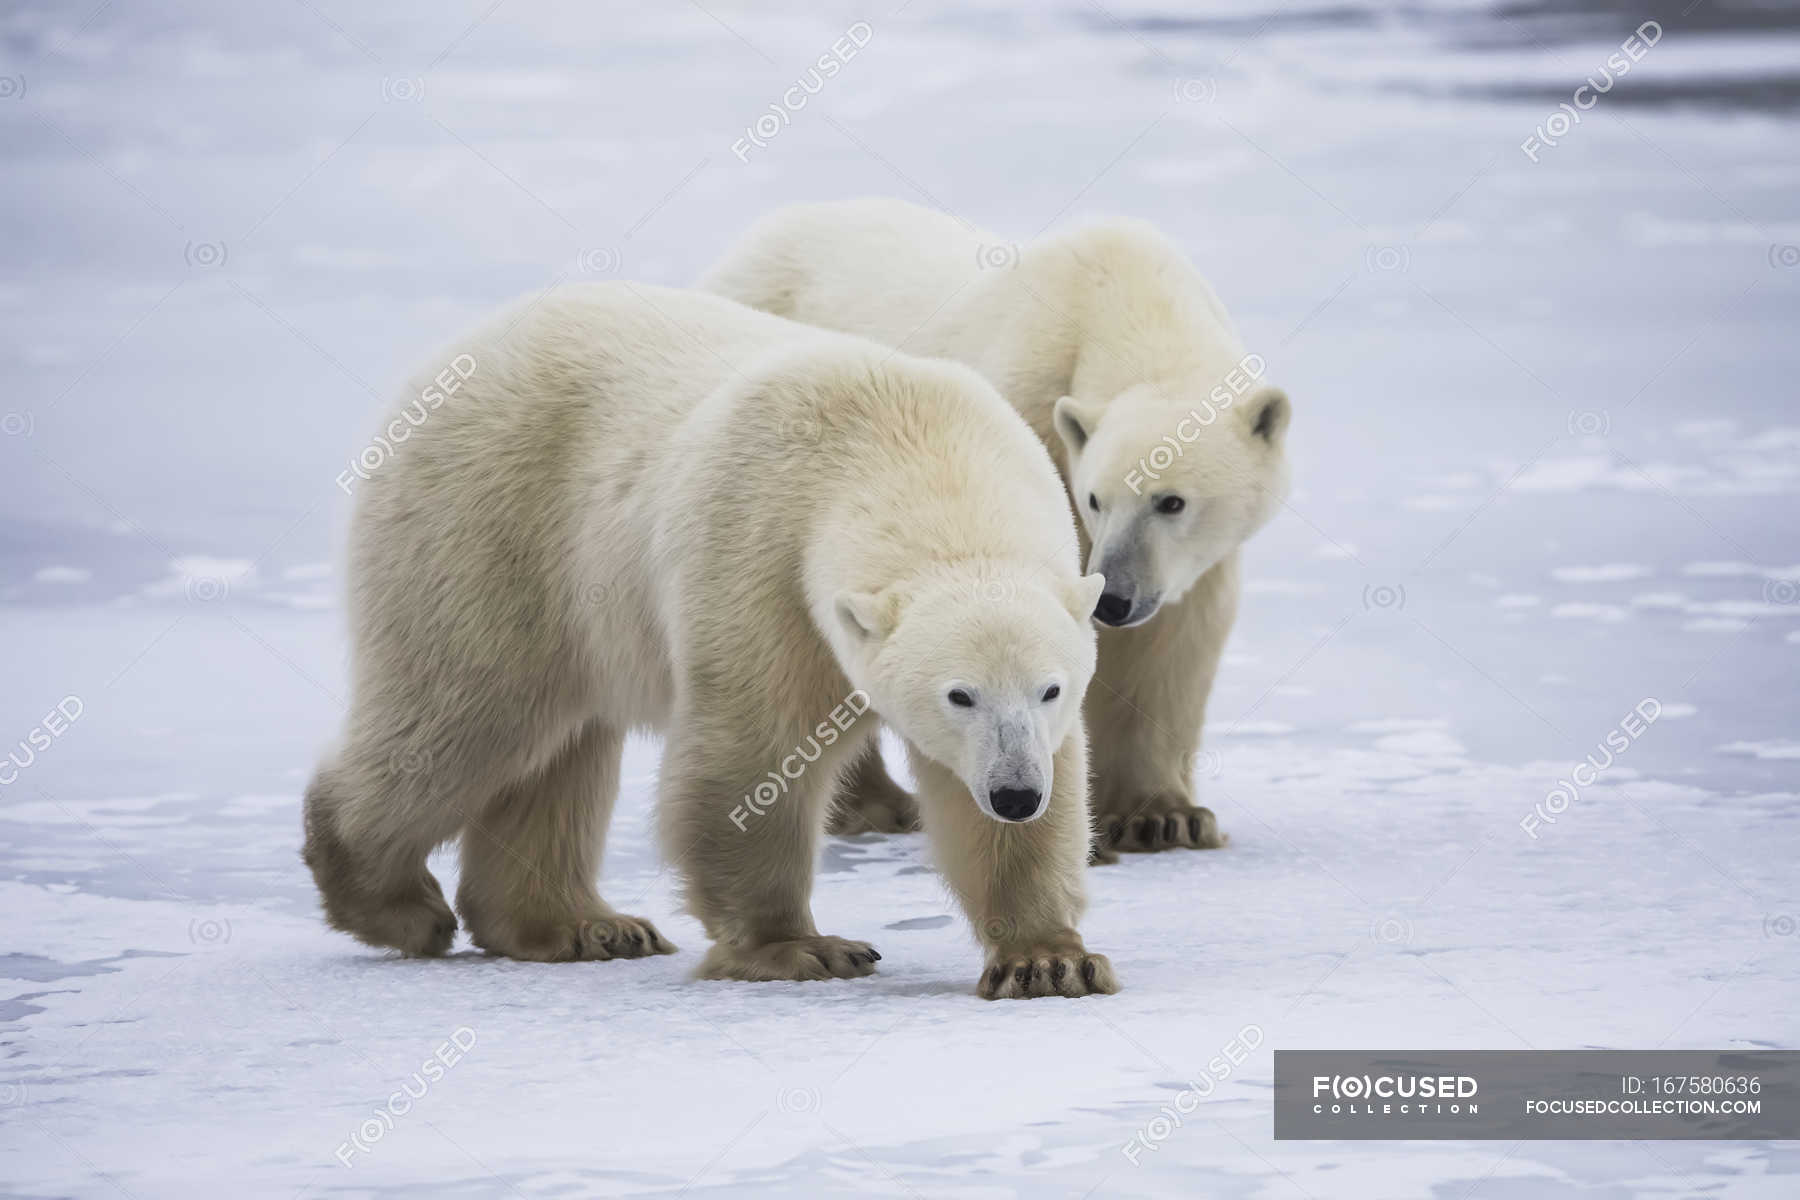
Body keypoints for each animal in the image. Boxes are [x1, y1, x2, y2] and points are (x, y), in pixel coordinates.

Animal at [298, 286, 1108, 1000]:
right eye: (959, 695)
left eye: (1050, 688)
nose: (1014, 793)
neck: (906, 440)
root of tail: (449, 359)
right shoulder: (763, 555)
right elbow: (756, 753)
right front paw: (802, 947)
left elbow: (1017, 809)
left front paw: (1047, 961)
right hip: (490, 532)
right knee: (466, 714)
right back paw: (396, 902)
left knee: (557, 753)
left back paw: (582, 926)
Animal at [702, 197, 1296, 859]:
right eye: (1095, 498)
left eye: (1172, 502)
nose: (1116, 599)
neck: (1119, 301)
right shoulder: (1030, 417)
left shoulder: (1193, 564)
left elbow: (1172, 646)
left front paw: (1165, 818)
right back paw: (872, 804)